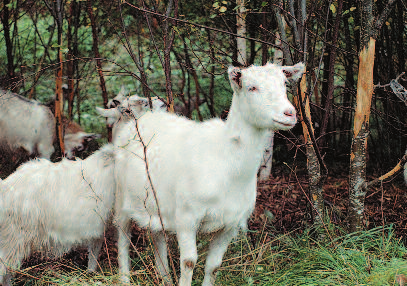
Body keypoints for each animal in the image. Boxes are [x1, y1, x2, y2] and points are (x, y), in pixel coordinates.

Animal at [113, 62, 304, 286]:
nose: (289, 114)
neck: (227, 164)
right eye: (252, 87)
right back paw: (124, 278)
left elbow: (214, 267)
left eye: (284, 84)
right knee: (123, 239)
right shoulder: (186, 217)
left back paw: (165, 278)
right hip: (121, 197)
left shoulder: (230, 224)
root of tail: (139, 120)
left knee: (157, 237)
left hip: (154, 204)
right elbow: (188, 262)